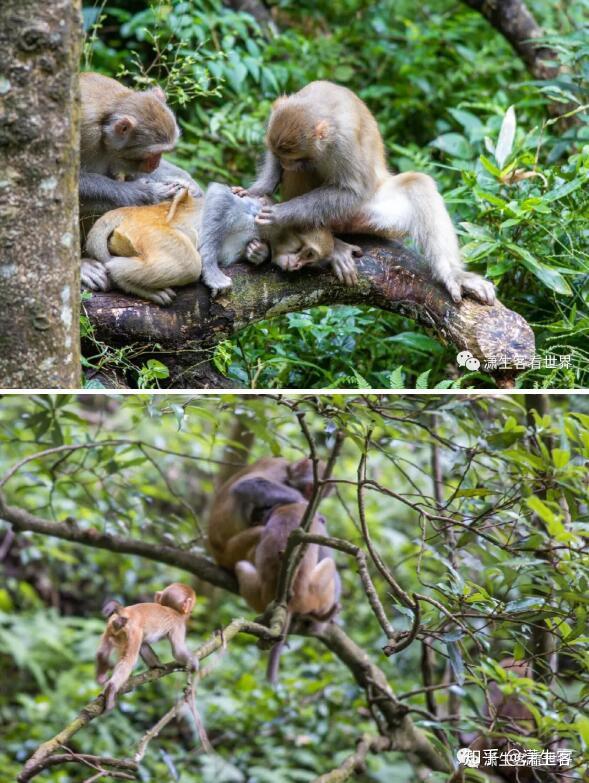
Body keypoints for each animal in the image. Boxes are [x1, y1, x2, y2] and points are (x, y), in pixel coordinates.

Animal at [78, 72, 202, 290]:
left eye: (163, 153)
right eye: (153, 153)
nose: (156, 163)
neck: (105, 119)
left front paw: (190, 185)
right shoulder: (85, 133)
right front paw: (147, 193)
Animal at [95, 580, 199, 712]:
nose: (190, 612)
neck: (171, 609)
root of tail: (125, 612)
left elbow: (144, 645)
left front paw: (156, 665)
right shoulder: (178, 624)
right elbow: (178, 651)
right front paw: (194, 664)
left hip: (110, 627)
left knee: (102, 653)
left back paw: (101, 675)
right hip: (132, 631)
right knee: (128, 661)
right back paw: (111, 688)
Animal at [200, 182, 360, 298]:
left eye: (309, 262)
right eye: (308, 254)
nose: (297, 265)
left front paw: (258, 252)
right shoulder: (256, 212)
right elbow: (220, 195)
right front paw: (212, 273)